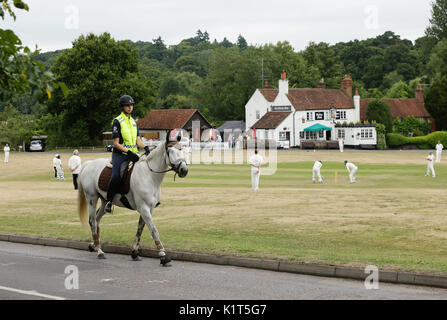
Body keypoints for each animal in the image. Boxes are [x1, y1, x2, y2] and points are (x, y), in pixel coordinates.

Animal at [78, 136, 188, 264]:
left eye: (182, 150)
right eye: (170, 151)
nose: (184, 170)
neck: (150, 176)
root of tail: (88, 164)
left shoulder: (149, 209)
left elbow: (140, 229)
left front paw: (135, 252)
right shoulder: (144, 208)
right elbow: (154, 230)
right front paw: (163, 255)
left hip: (104, 201)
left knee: (97, 220)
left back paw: (94, 245)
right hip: (92, 198)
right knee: (92, 221)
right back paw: (99, 251)